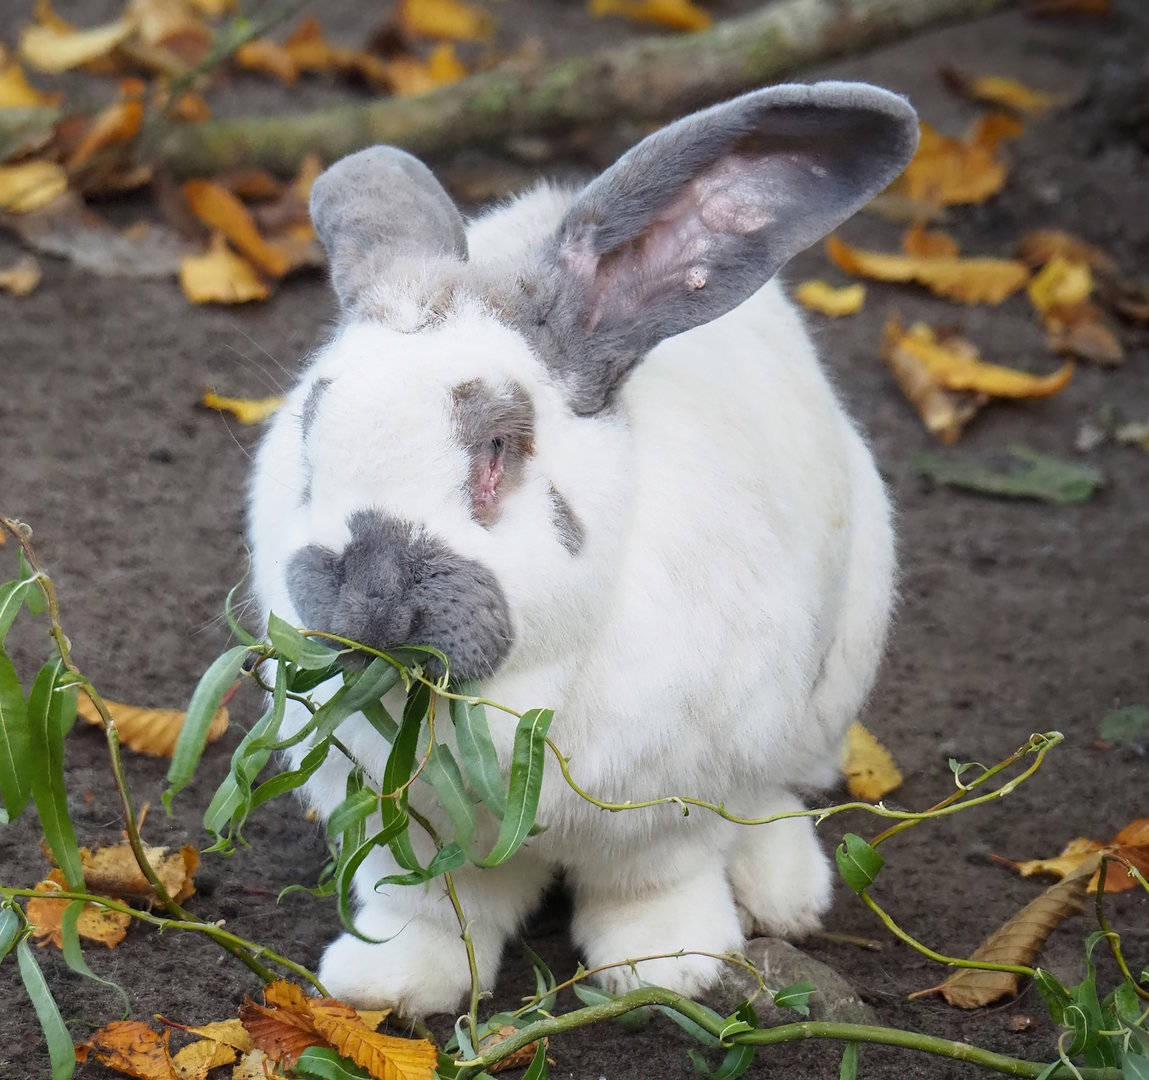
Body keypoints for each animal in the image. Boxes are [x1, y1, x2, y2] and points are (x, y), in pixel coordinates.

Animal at [247, 81, 918, 1018]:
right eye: (309, 436)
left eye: (498, 447)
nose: (365, 600)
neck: (506, 697)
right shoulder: (404, 828)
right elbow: (429, 905)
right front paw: (388, 985)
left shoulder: (664, 807)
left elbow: (650, 885)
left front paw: (663, 969)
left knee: (772, 792)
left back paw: (785, 892)